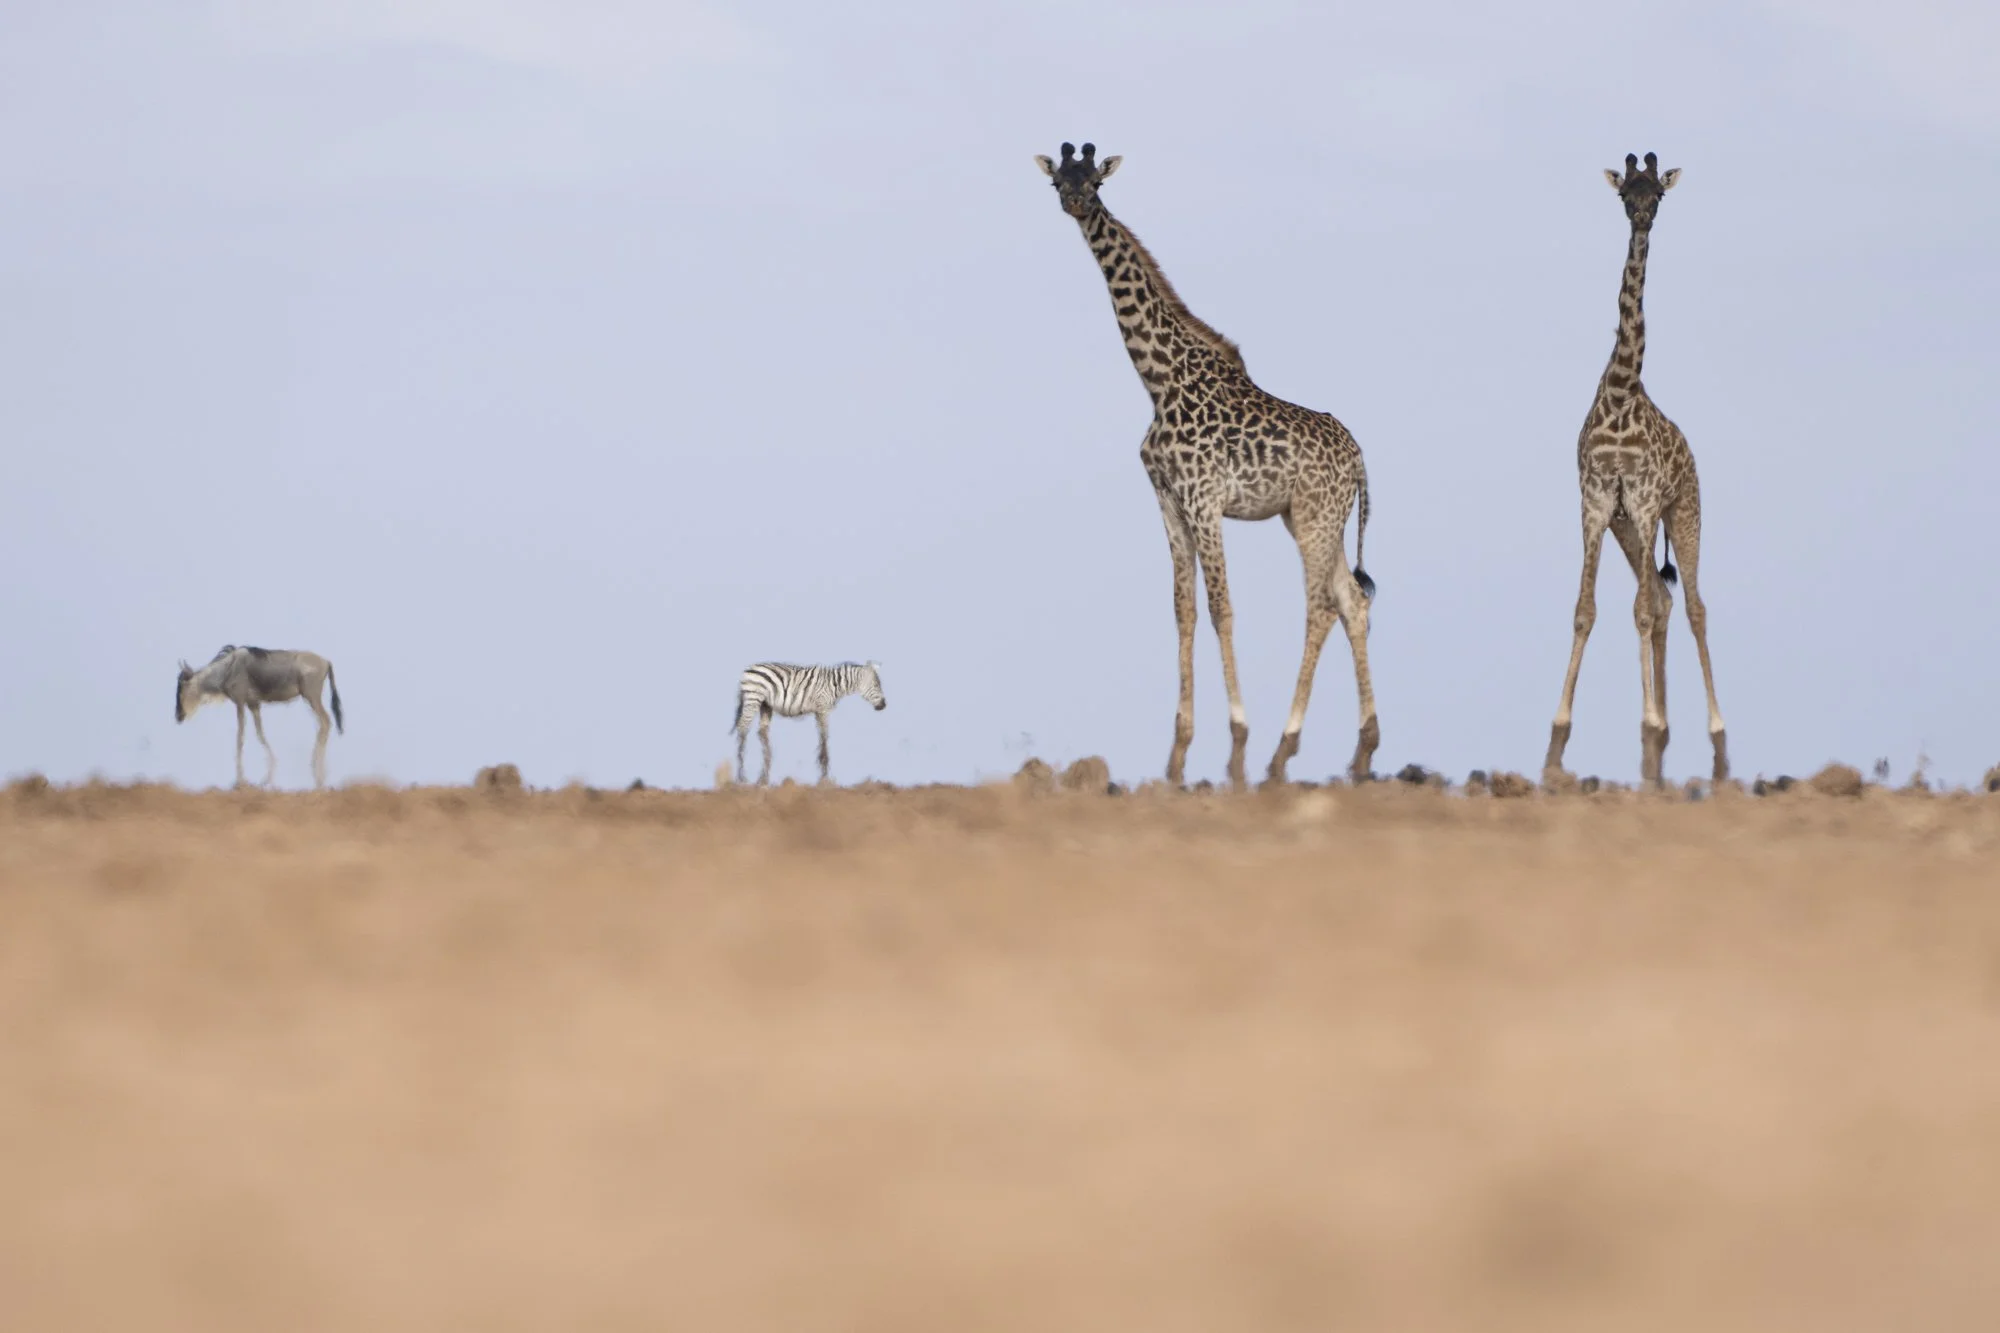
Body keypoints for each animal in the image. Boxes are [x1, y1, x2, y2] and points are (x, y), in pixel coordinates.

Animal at [175, 645, 344, 789]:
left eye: (182, 687)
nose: (178, 715)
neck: (227, 669)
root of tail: (326, 662)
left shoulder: (240, 702)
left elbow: (240, 737)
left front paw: (240, 781)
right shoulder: (253, 704)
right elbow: (260, 733)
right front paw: (267, 779)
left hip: (312, 697)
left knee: (325, 722)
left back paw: (318, 776)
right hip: (311, 698)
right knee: (324, 724)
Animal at [730, 661, 886, 786]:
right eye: (877, 685)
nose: (884, 705)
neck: (835, 684)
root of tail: (748, 669)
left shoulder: (818, 711)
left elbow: (821, 738)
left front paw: (822, 769)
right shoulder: (823, 709)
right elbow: (824, 737)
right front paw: (824, 776)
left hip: (765, 704)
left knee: (761, 732)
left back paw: (764, 775)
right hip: (753, 698)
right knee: (742, 728)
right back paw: (741, 776)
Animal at [1034, 142, 1378, 788]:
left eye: (1095, 182)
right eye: (1057, 182)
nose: (1075, 202)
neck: (1158, 380)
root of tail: (1361, 460)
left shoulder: (1205, 499)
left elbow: (1222, 608)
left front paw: (1236, 742)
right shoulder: (1168, 501)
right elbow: (1184, 611)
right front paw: (1177, 752)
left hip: (1316, 517)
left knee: (1322, 605)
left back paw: (1281, 750)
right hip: (1311, 518)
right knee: (1352, 600)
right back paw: (1365, 750)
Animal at [1544, 152, 1728, 787]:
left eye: (1659, 194)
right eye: (1627, 192)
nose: (1644, 218)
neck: (1623, 391)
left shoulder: (1646, 501)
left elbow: (1640, 611)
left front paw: (1646, 722)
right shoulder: (1598, 502)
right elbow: (1586, 611)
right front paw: (1558, 734)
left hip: (1685, 511)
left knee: (1692, 606)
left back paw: (1713, 732)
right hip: (1630, 528)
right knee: (1667, 603)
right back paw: (1665, 732)